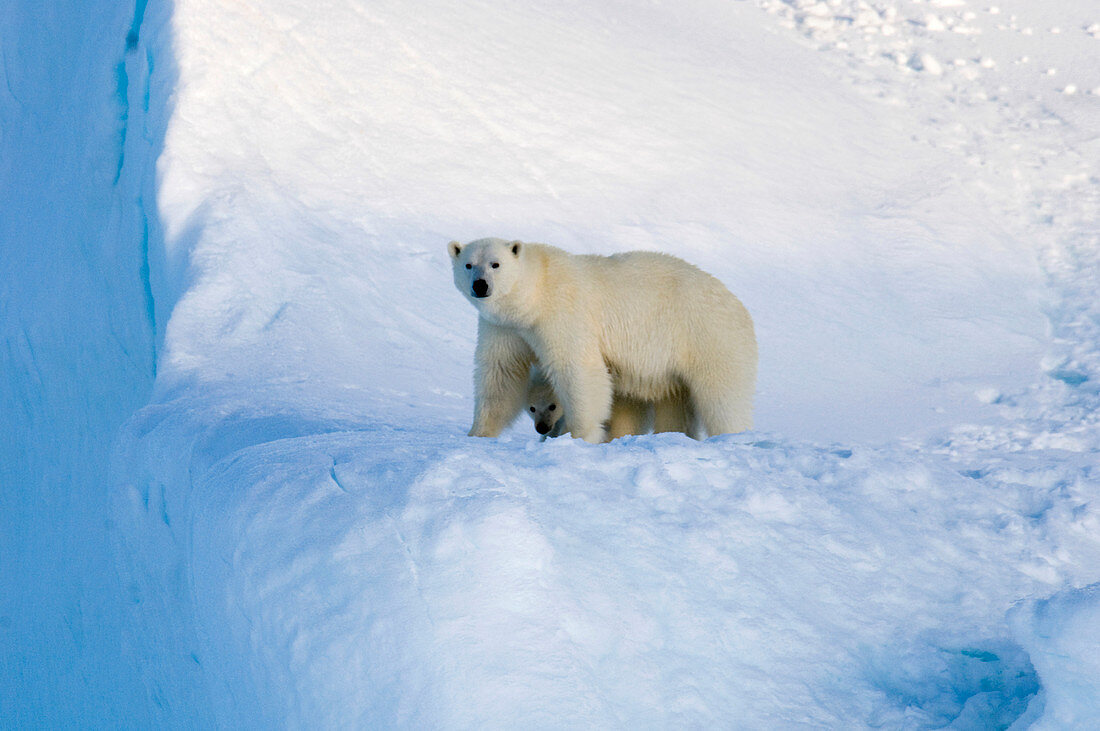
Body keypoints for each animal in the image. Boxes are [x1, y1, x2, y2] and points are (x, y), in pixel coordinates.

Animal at [446, 238, 756, 439]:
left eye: (495, 264)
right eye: (469, 264)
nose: (480, 285)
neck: (536, 292)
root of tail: (741, 309)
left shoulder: (563, 313)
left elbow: (578, 370)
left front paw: (579, 434)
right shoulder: (504, 327)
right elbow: (501, 374)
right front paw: (478, 434)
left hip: (708, 337)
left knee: (723, 397)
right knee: (675, 405)